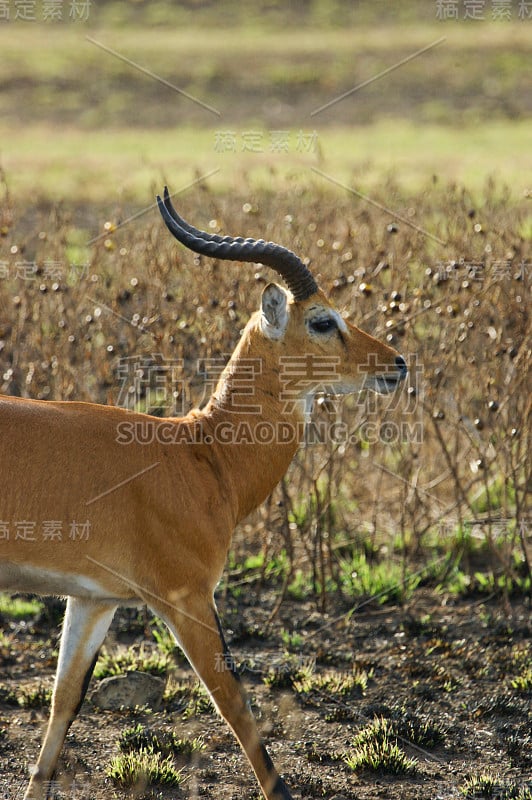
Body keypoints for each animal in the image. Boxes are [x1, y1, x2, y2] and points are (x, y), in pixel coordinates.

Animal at [0, 189, 408, 800]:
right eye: (322, 320)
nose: (396, 364)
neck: (202, 455)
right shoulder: (186, 596)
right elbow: (235, 705)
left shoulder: (94, 600)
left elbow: (63, 703)